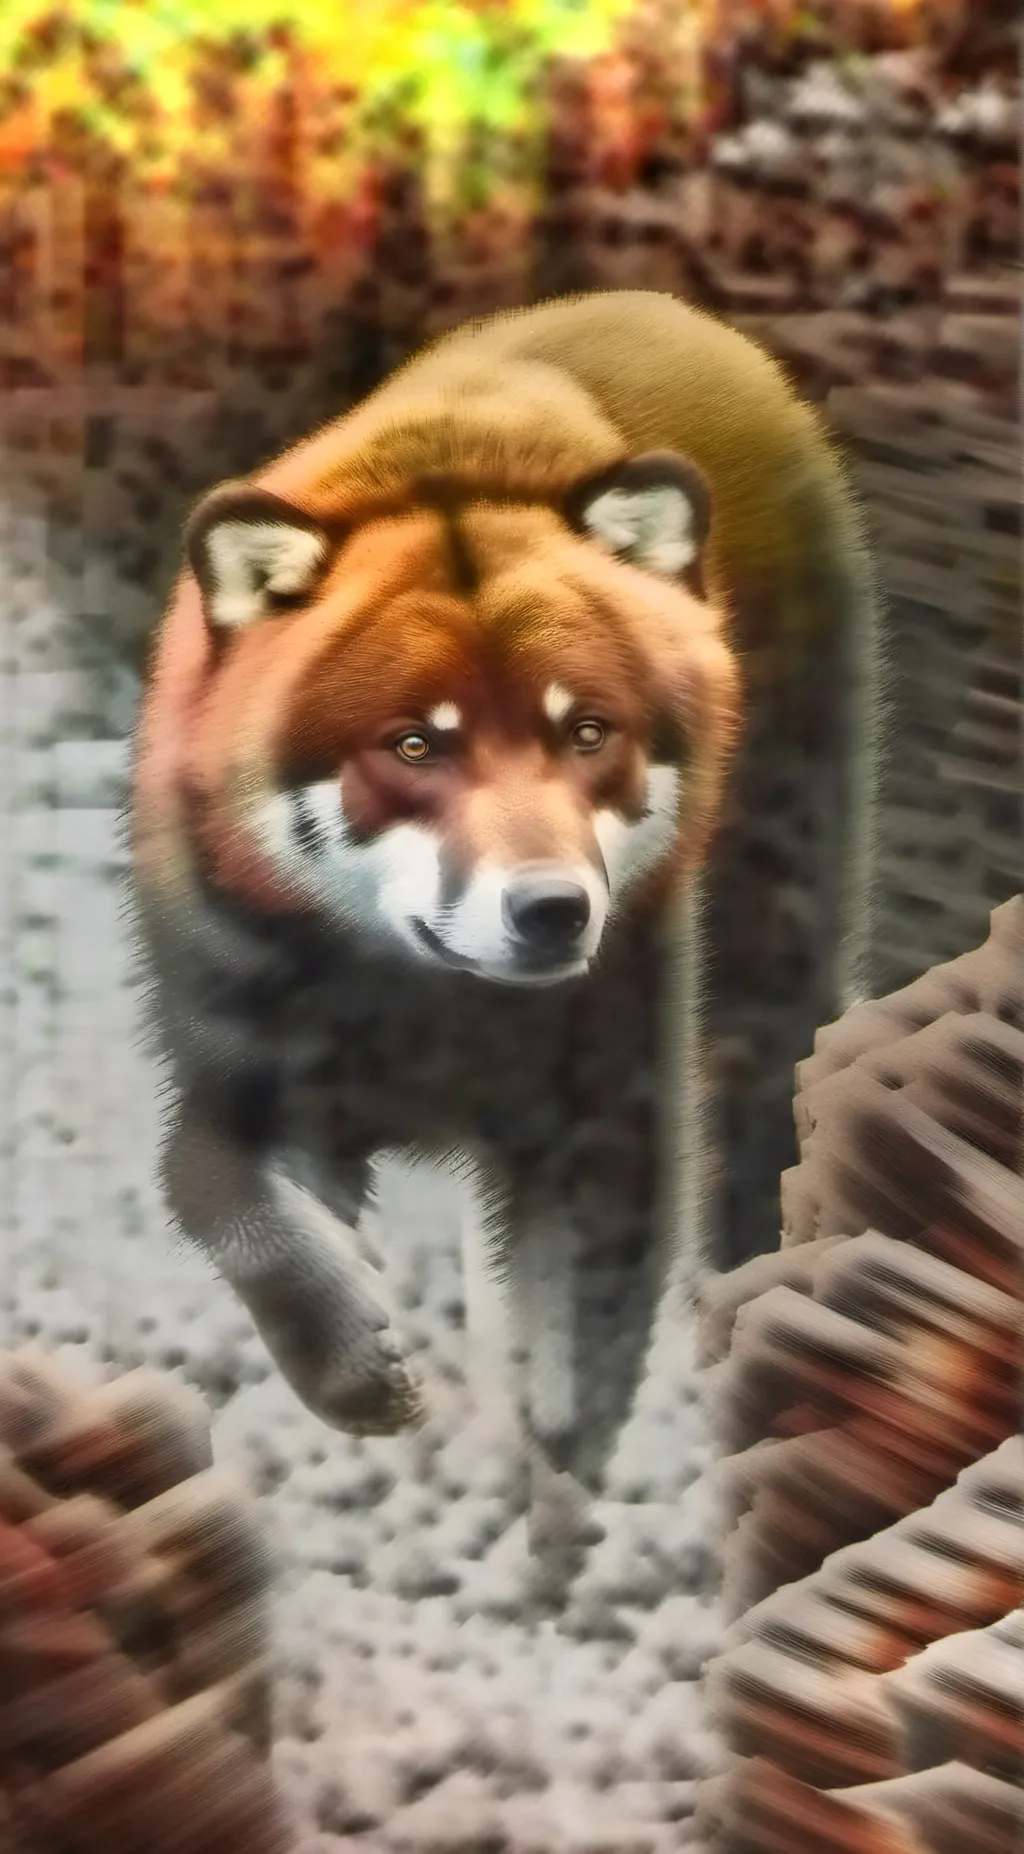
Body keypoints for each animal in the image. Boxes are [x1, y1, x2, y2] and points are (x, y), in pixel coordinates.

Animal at [130, 290, 880, 1491]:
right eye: (414, 744)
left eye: (587, 732)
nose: (553, 910)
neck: (417, 1009)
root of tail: (669, 309)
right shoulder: (238, 1070)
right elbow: (219, 1199)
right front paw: (358, 1374)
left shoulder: (600, 1124)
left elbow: (569, 1375)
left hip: (777, 930)